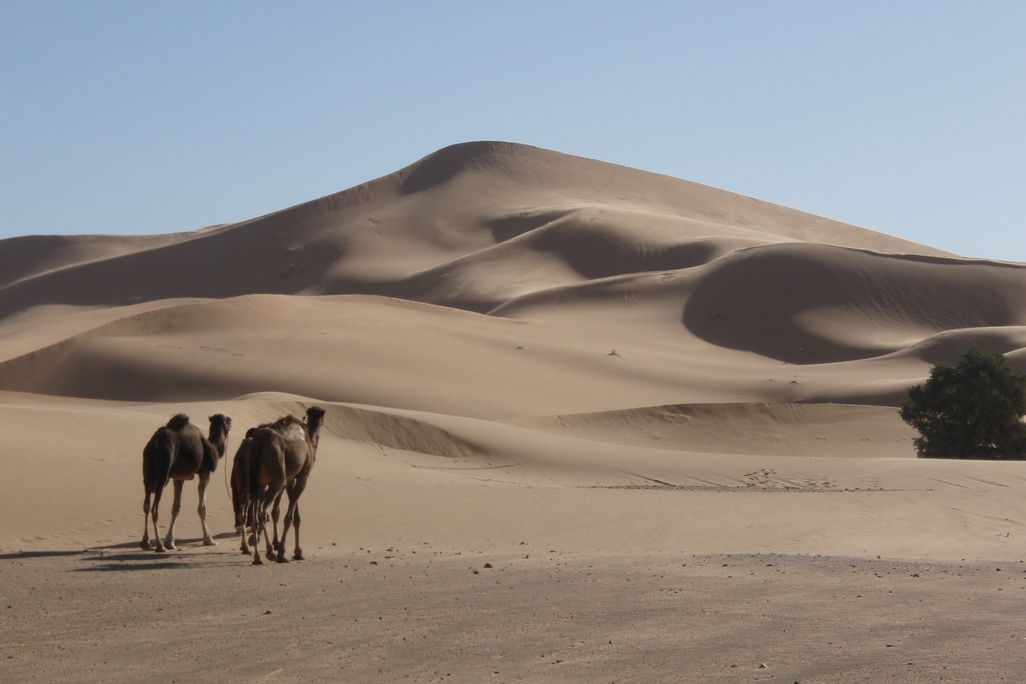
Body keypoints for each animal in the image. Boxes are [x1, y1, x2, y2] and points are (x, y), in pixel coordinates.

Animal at [140, 413, 232, 552]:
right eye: (227, 420)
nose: (231, 421)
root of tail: (154, 445)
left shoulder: (179, 478)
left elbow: (176, 507)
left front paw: (170, 541)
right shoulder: (205, 473)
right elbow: (202, 507)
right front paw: (209, 539)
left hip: (147, 477)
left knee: (146, 505)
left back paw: (146, 542)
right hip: (162, 477)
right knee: (154, 508)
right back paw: (160, 546)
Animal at [245, 406, 326, 565]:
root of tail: (259, 442)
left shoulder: (290, 479)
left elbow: (296, 516)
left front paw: (298, 551)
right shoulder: (302, 477)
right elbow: (289, 516)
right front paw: (283, 552)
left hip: (258, 481)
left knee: (255, 513)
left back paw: (257, 556)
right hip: (277, 478)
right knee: (262, 511)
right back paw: (270, 552)